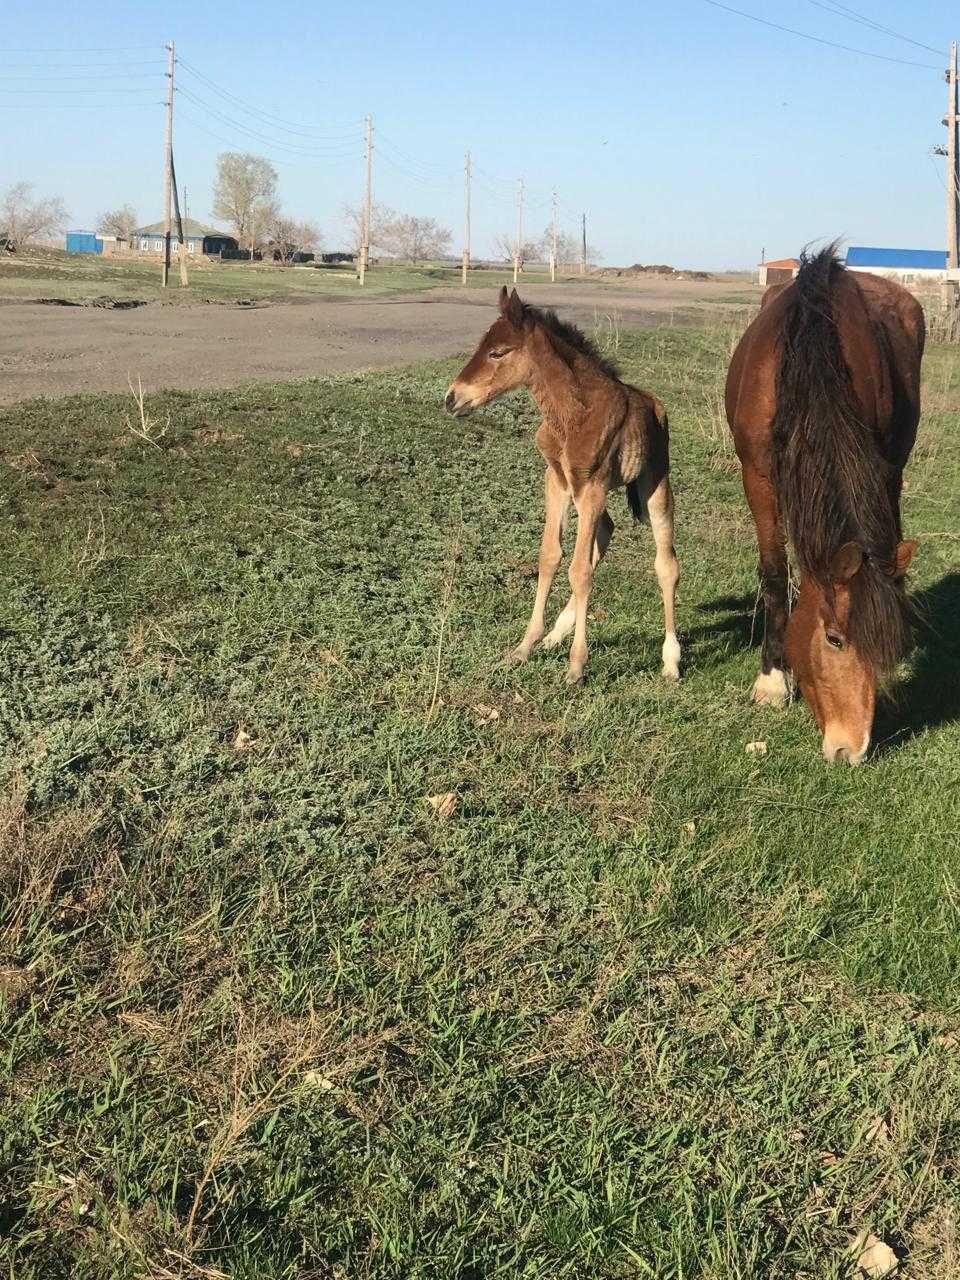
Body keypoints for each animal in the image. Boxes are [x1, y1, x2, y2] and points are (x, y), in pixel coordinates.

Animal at [445, 289, 680, 686]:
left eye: (498, 352)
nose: (451, 398)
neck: (572, 416)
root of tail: (654, 405)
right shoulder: (556, 481)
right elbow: (551, 557)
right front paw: (525, 646)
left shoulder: (593, 485)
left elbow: (580, 571)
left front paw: (576, 665)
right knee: (605, 532)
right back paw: (557, 633)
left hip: (654, 483)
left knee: (666, 564)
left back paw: (671, 661)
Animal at [727, 245, 926, 762]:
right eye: (834, 640)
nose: (850, 750)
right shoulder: (758, 478)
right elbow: (775, 575)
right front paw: (772, 680)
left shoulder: (878, 467)